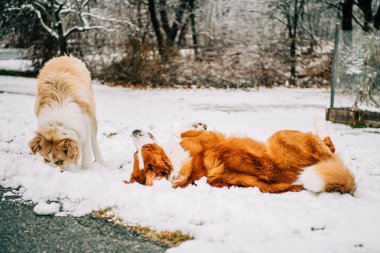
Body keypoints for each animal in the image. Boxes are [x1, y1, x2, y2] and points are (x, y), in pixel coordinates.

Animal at [127, 123, 356, 194]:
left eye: (142, 150)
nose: (133, 131)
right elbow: (185, 131)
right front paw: (197, 125)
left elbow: (183, 131)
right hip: (282, 135)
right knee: (329, 144)